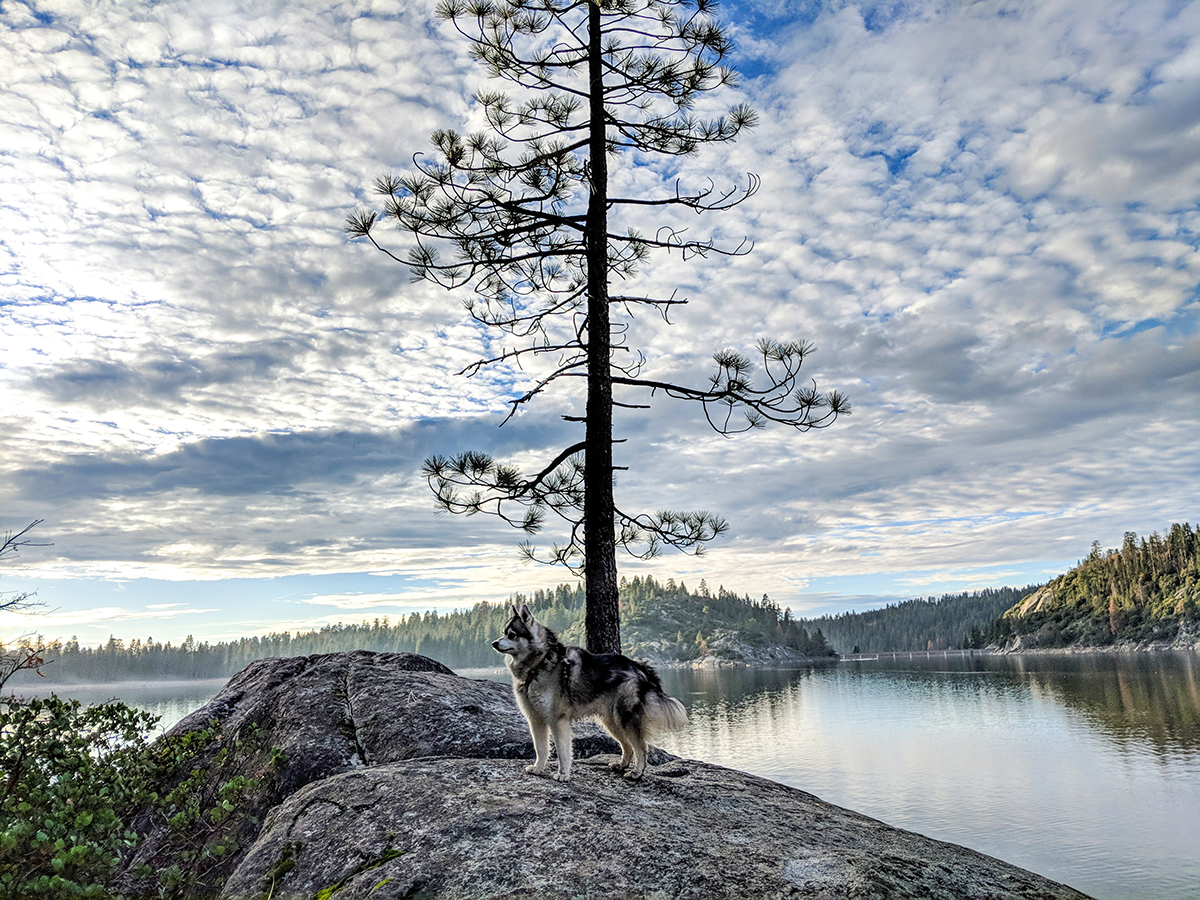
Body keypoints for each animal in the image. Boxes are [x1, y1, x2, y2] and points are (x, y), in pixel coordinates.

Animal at [492, 607, 691, 782]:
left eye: (512, 635)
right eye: (503, 632)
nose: (494, 643)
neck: (538, 665)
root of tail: (637, 665)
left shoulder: (558, 721)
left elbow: (563, 752)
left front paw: (563, 774)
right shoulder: (536, 719)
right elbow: (541, 749)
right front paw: (538, 768)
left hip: (625, 719)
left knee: (641, 748)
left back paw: (637, 773)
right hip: (611, 722)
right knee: (627, 746)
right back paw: (622, 765)